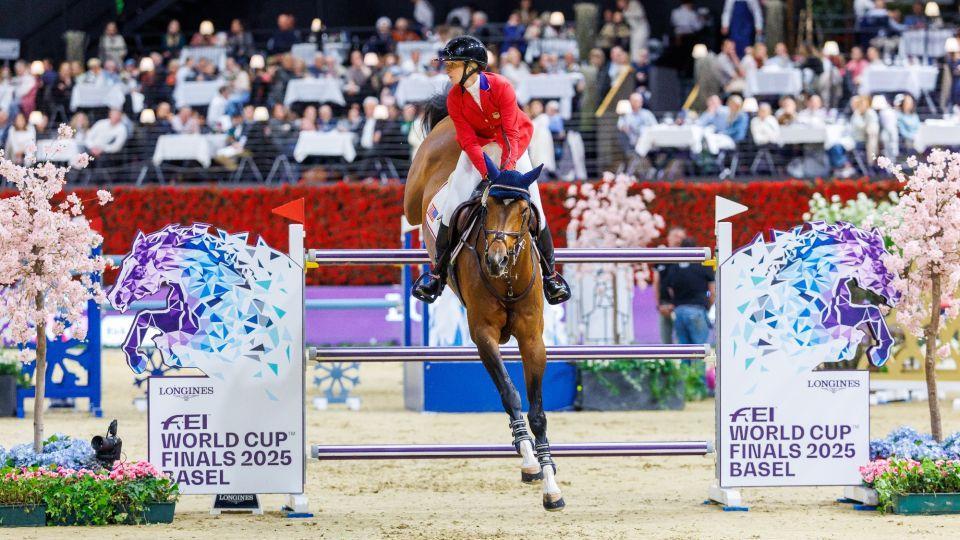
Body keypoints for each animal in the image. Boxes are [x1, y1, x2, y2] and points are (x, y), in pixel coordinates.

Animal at [403, 97, 564, 511]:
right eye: (487, 207)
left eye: (524, 213)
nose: (495, 260)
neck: (506, 280)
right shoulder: (483, 335)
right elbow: (510, 395)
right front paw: (529, 463)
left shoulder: (532, 338)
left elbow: (537, 412)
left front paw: (551, 485)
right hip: (416, 190)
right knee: (410, 211)